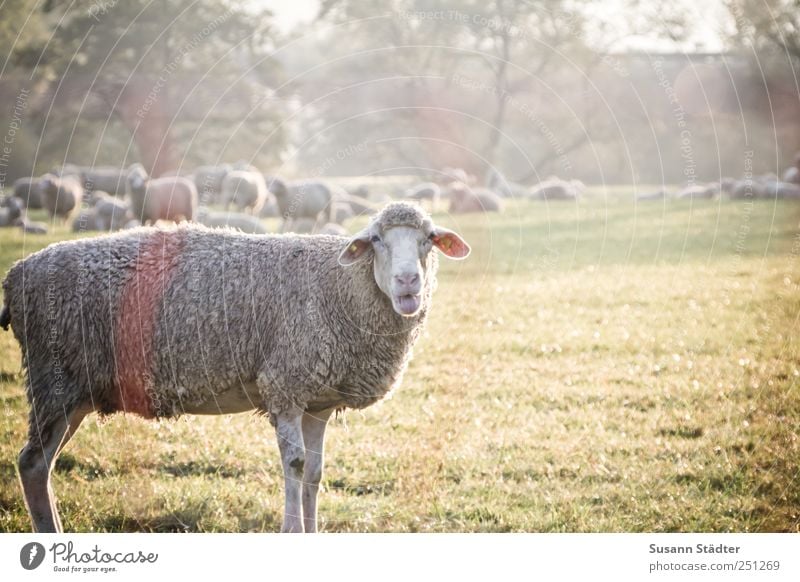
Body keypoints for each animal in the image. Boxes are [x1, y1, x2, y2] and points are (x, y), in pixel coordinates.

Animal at [1, 201, 468, 532]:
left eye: (428, 239)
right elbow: (295, 466)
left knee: (40, 465)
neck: (339, 286)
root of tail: (18, 273)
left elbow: (315, 473)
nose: (408, 282)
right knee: (32, 464)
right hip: (54, 380)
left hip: (73, 391)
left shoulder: (317, 401)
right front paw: (292, 533)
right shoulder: (284, 385)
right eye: (376, 239)